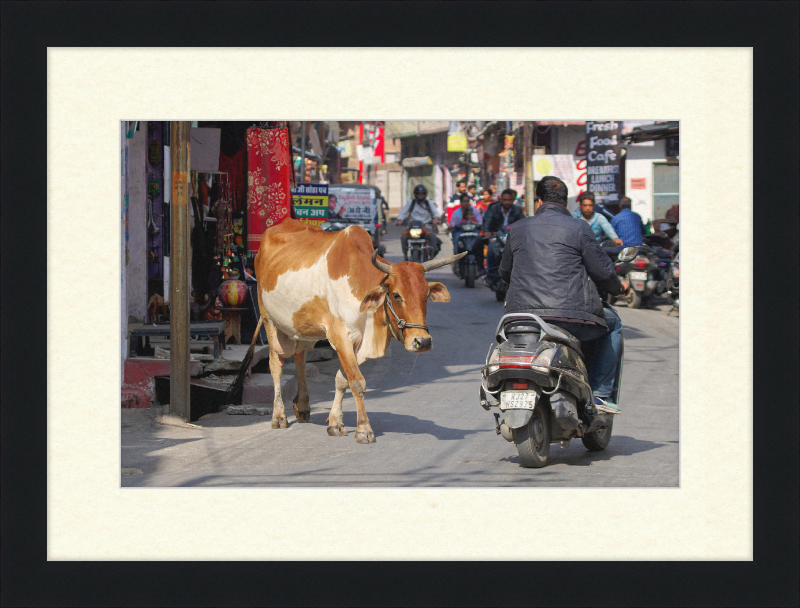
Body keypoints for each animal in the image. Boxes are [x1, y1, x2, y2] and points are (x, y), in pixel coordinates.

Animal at [228, 217, 466, 442]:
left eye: (426, 295)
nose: (422, 341)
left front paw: (335, 423)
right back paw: (279, 416)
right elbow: (357, 382)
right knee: (275, 364)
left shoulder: (357, 342)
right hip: (270, 320)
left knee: (300, 357)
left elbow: (342, 380)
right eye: (397, 295)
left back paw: (303, 406)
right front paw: (363, 429)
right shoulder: (340, 336)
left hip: (302, 327)